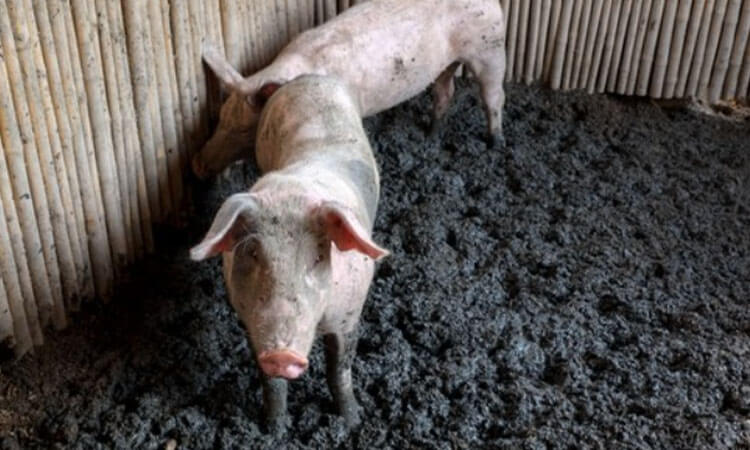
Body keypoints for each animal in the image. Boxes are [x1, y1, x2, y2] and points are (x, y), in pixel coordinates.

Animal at [190, 74, 388, 431]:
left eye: (317, 257)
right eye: (254, 253)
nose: (282, 355)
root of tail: (306, 79)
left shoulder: (349, 313)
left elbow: (340, 370)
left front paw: (352, 421)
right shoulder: (250, 318)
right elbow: (271, 382)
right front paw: (274, 429)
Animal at [192, 0, 506, 178]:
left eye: (246, 129)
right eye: (220, 119)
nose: (197, 165)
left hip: (489, 50)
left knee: (494, 97)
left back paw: (494, 143)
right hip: (447, 63)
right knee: (444, 91)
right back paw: (430, 135)